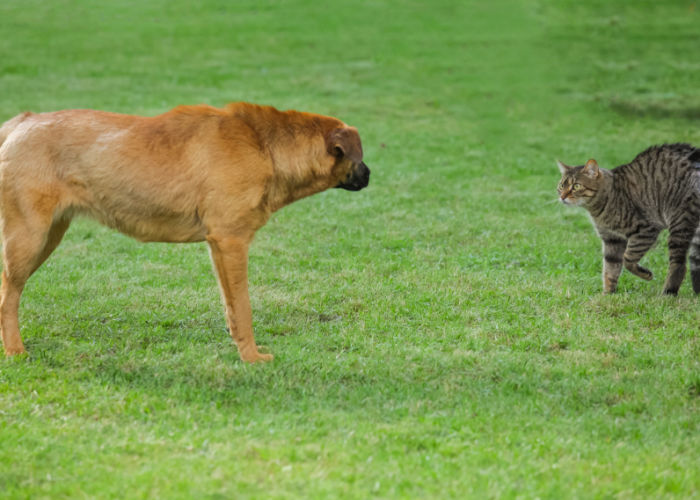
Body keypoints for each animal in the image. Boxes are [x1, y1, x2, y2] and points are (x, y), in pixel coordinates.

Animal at [0, 102, 372, 360]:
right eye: (360, 155)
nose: (370, 175)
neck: (264, 148)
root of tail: (22, 121)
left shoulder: (220, 247)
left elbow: (231, 308)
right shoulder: (230, 241)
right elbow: (244, 307)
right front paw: (251, 357)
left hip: (49, 236)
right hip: (28, 240)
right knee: (8, 297)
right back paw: (15, 351)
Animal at [556, 143, 700, 294]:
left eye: (576, 186)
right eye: (561, 185)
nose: (562, 196)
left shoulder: (645, 231)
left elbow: (628, 258)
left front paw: (645, 274)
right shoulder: (612, 239)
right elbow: (610, 269)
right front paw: (607, 294)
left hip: (679, 226)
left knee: (679, 264)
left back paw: (668, 292)